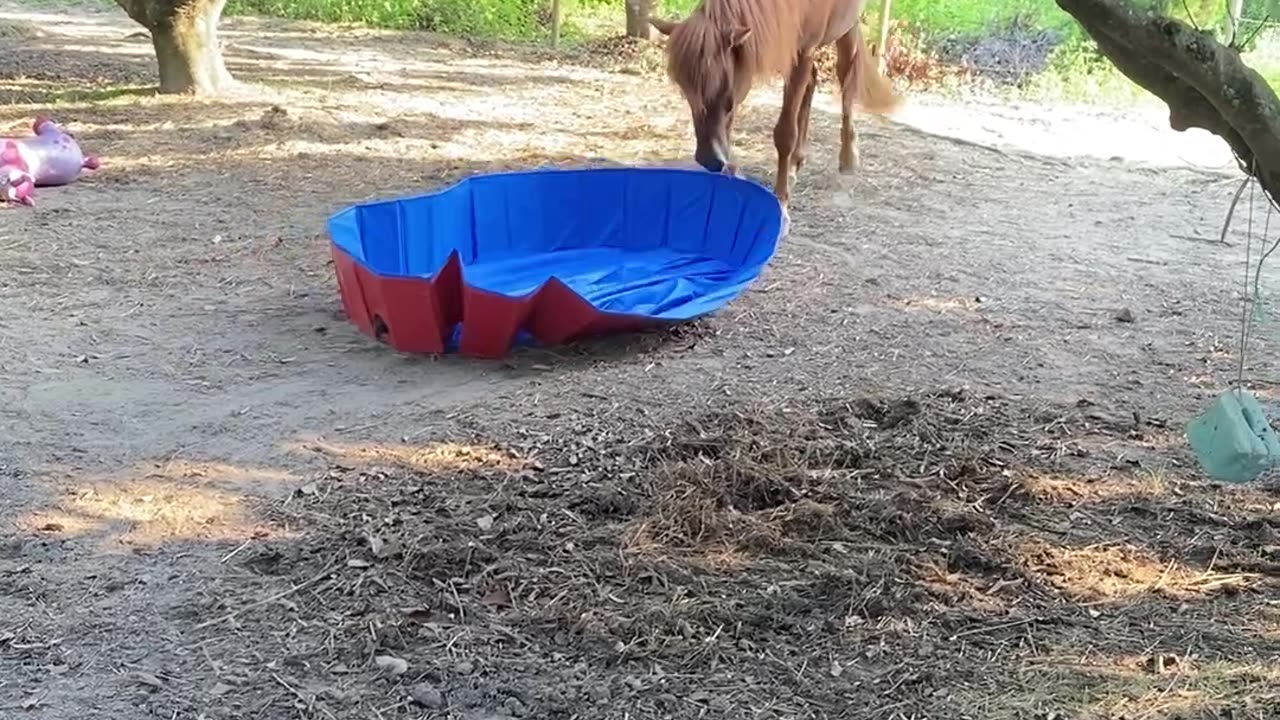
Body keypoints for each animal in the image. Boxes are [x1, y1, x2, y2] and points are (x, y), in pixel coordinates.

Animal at [650, 0, 901, 204]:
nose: (709, 160)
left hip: (847, 30)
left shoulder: (802, 52)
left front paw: (781, 200)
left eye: (727, 95)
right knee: (812, 82)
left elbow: (785, 133)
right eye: (686, 92)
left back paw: (848, 158)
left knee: (846, 81)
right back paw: (796, 162)